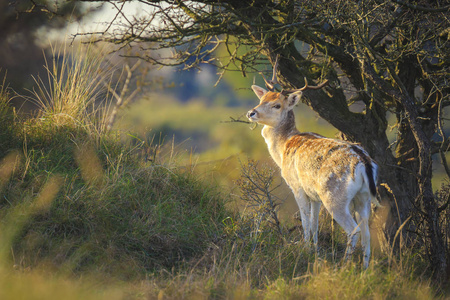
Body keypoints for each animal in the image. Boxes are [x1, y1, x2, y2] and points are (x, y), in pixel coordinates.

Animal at [248, 57, 378, 268]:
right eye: (262, 99)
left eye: (277, 105)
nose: (251, 113)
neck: (283, 148)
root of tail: (364, 162)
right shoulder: (314, 195)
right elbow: (315, 223)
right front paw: (315, 251)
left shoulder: (297, 186)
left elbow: (305, 221)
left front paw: (305, 249)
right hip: (364, 197)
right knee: (367, 233)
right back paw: (365, 269)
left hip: (334, 197)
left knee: (354, 230)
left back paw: (344, 266)